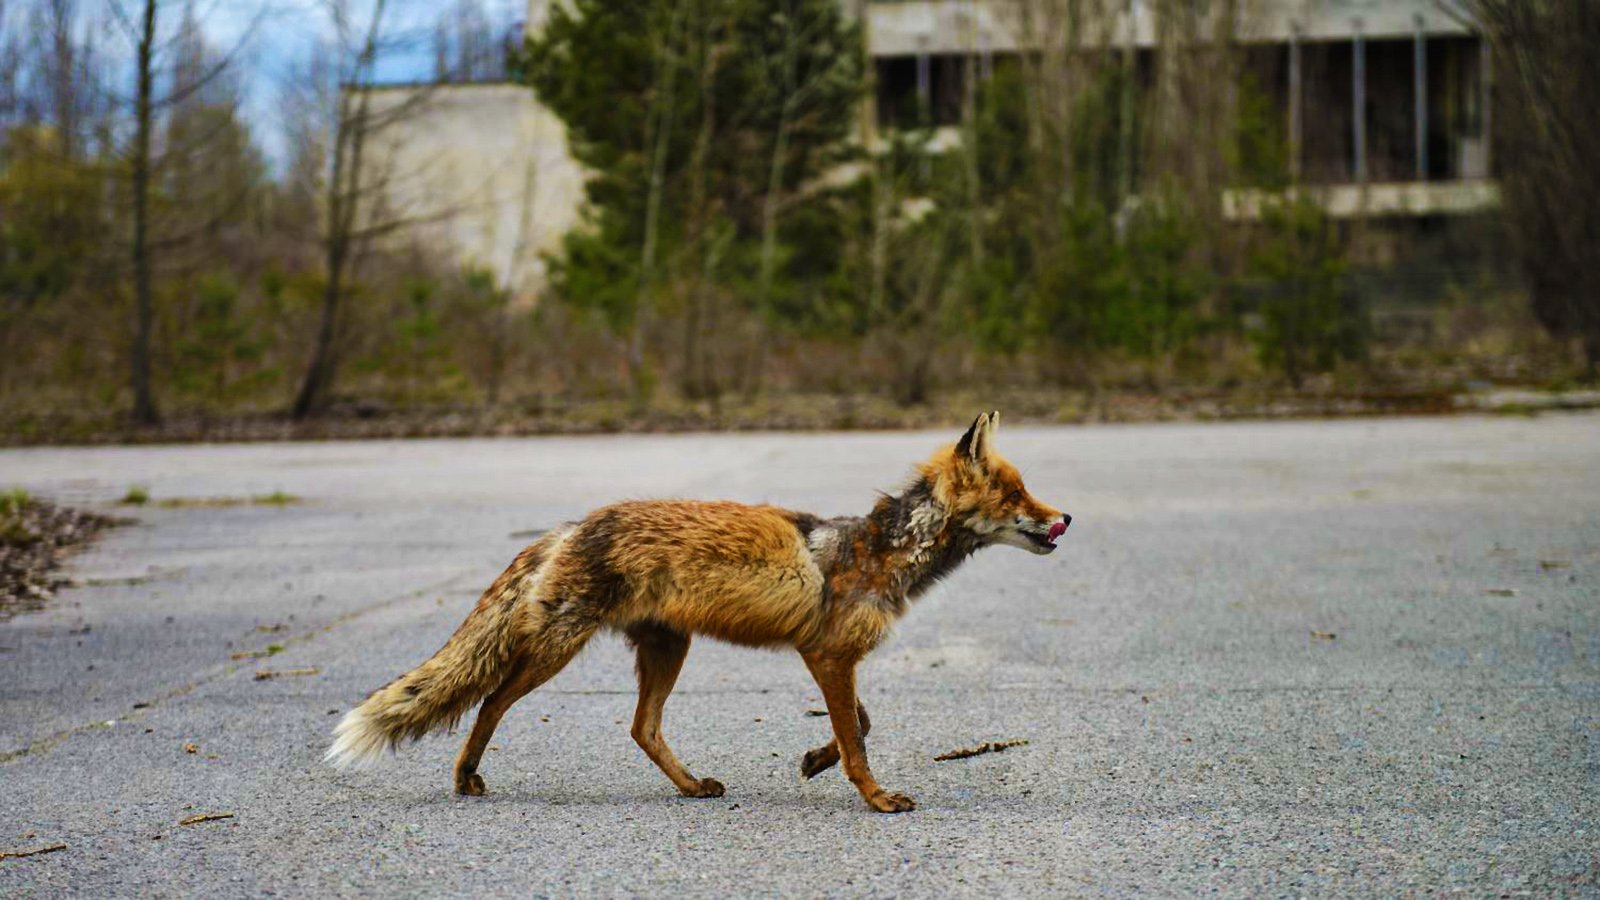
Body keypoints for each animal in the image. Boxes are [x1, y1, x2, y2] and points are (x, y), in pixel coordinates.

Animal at [324, 409, 1068, 810]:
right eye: (1015, 495)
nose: (1065, 519)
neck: (879, 551)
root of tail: (573, 524)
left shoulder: (831, 656)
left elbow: (859, 723)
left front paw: (813, 760)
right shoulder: (827, 654)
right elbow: (859, 738)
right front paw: (874, 796)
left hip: (666, 648)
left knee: (642, 728)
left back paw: (689, 787)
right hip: (559, 648)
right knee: (490, 701)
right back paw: (465, 776)